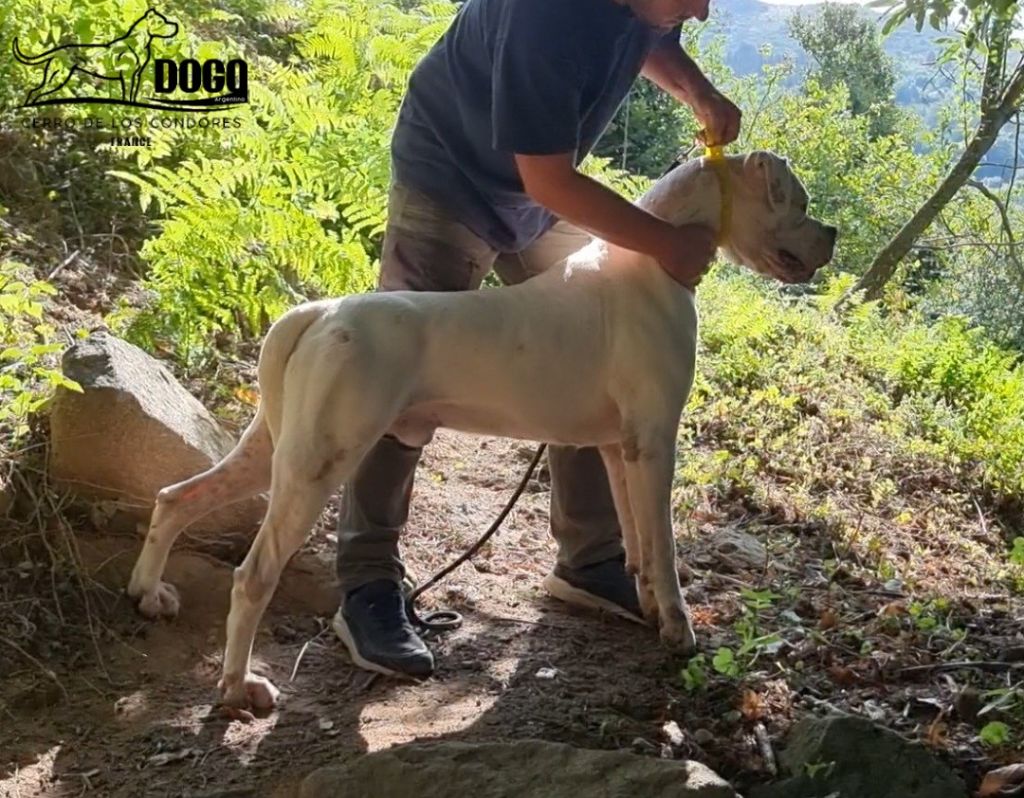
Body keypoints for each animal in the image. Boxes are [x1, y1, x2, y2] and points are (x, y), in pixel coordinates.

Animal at [123, 149, 835, 712]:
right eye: (798, 201)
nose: (829, 231)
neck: (652, 257)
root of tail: (319, 311)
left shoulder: (620, 447)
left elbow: (636, 540)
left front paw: (645, 605)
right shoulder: (658, 443)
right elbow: (663, 547)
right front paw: (680, 630)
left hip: (274, 445)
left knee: (175, 498)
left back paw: (148, 593)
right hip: (319, 461)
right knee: (253, 575)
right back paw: (238, 687)